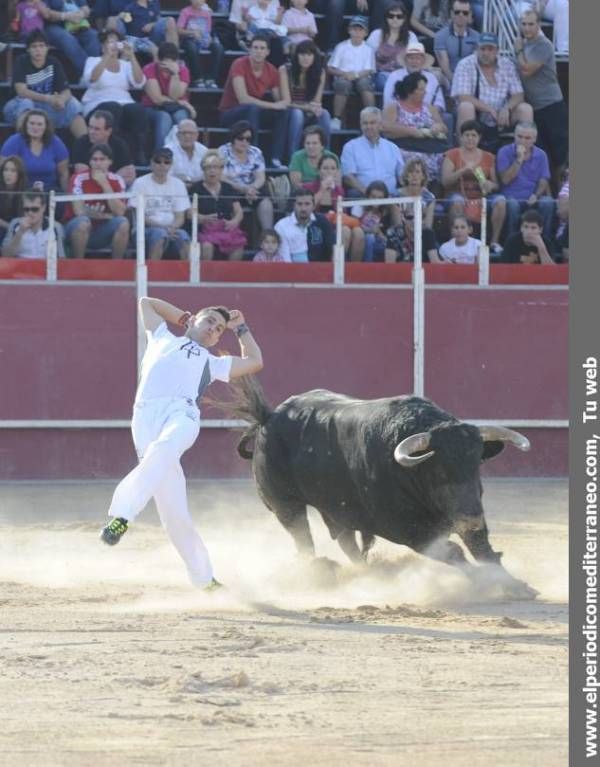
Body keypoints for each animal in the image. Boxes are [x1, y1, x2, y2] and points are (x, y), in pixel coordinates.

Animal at [230, 378, 540, 600]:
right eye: (440, 471)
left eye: (476, 465)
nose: (471, 518)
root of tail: (268, 417)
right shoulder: (405, 528)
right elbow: (452, 552)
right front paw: (488, 583)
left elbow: (483, 548)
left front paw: (516, 585)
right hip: (285, 504)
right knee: (303, 538)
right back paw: (318, 574)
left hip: (334, 508)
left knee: (345, 541)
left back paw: (368, 574)